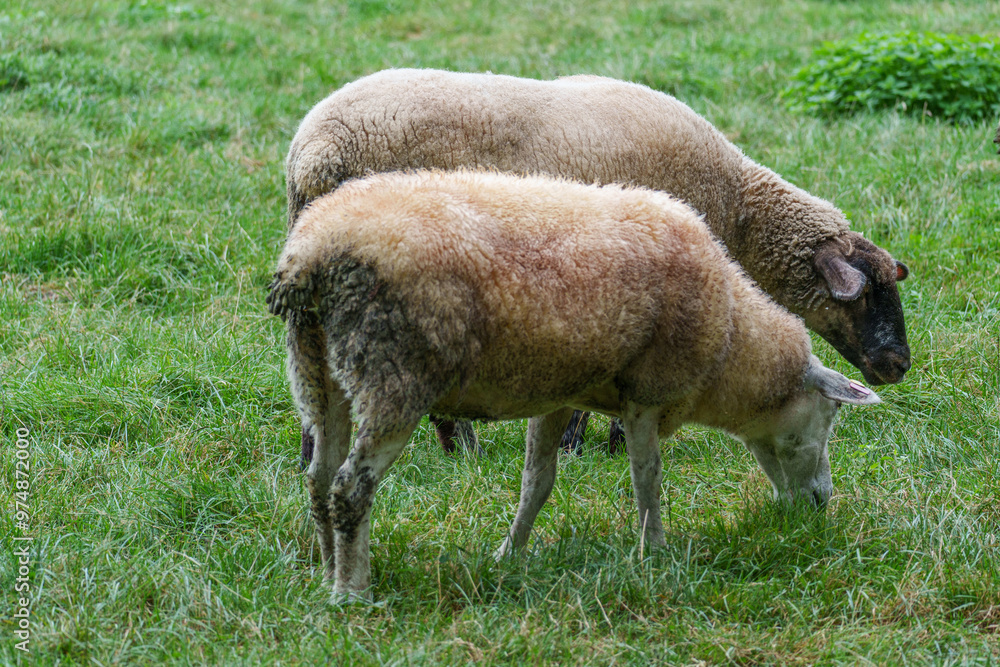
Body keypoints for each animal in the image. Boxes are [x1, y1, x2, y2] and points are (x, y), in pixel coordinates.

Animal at [266, 169, 882, 601]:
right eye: (826, 418)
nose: (820, 503)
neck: (731, 336)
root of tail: (311, 254)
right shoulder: (645, 396)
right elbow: (647, 481)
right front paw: (655, 554)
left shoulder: (557, 395)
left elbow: (536, 485)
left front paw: (508, 555)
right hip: (393, 372)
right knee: (351, 486)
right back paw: (352, 593)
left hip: (320, 369)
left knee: (319, 476)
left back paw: (328, 569)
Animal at [285, 68, 909, 461]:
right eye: (868, 293)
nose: (900, 365)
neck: (737, 207)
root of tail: (315, 152)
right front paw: (595, 443)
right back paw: (459, 448)